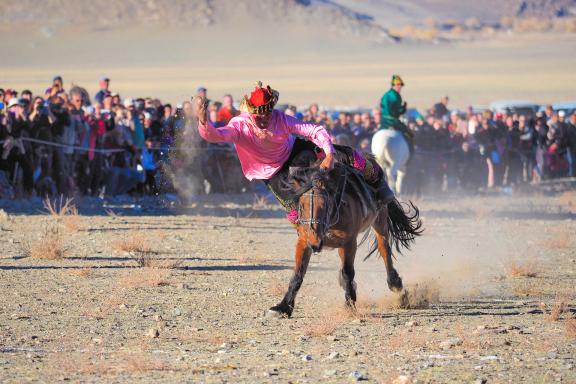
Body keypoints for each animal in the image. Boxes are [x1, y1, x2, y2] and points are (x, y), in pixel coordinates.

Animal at [268, 160, 420, 318]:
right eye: (302, 206)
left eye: (325, 205)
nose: (315, 243)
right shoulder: (304, 242)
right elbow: (297, 274)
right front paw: (283, 307)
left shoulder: (349, 243)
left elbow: (348, 272)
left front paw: (349, 304)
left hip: (380, 220)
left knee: (384, 249)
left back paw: (395, 284)